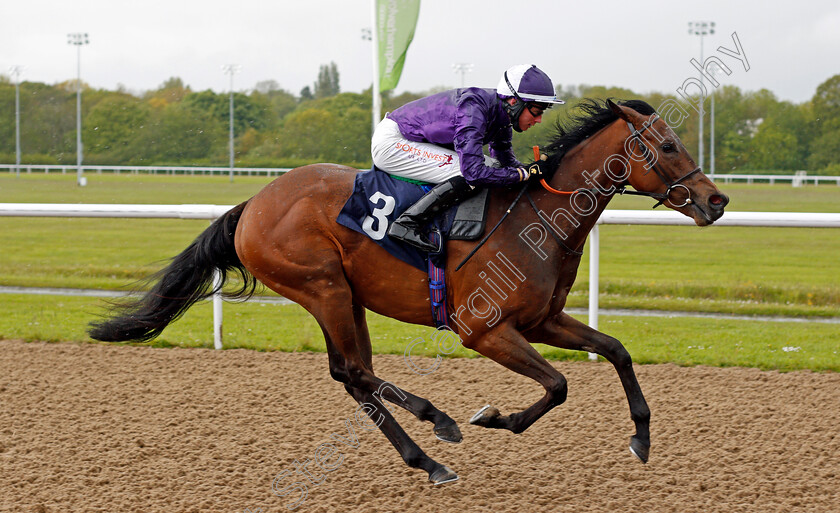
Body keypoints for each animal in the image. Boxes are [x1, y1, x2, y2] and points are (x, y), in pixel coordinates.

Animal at [87, 99, 728, 484]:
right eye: (667, 146)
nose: (716, 200)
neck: (538, 218)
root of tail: (253, 203)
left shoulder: (543, 320)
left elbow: (615, 350)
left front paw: (641, 437)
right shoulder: (484, 330)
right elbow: (558, 384)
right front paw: (494, 418)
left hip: (343, 296)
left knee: (353, 375)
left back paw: (427, 456)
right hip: (322, 287)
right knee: (354, 371)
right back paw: (436, 426)